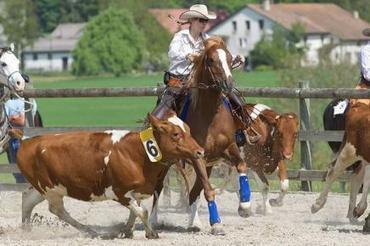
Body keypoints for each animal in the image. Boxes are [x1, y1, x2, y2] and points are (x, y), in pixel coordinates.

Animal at [17, 113, 204, 238]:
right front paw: (151, 233)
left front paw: (127, 231)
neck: (137, 152)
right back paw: (89, 231)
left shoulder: (137, 191)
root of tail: (28, 141)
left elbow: (135, 212)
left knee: (27, 200)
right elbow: (142, 211)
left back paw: (26, 230)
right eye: (175, 134)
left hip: (45, 188)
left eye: (188, 130)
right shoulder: (118, 192)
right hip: (49, 189)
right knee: (57, 210)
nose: (200, 151)